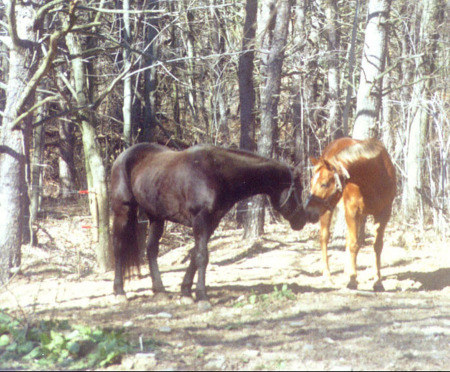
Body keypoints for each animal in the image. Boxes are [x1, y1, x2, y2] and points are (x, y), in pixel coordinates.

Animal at [110, 142, 312, 302]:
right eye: (298, 189)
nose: (303, 219)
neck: (217, 172)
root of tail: (122, 156)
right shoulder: (200, 220)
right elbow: (202, 256)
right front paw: (201, 296)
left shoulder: (211, 222)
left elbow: (195, 255)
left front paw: (186, 292)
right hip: (123, 211)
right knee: (119, 247)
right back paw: (119, 291)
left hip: (156, 216)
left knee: (151, 250)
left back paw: (159, 291)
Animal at [304, 138, 396, 292]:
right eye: (311, 182)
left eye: (324, 184)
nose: (309, 211)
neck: (374, 177)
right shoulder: (352, 211)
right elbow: (354, 244)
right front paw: (353, 280)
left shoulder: (383, 213)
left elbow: (377, 246)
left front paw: (378, 282)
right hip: (328, 210)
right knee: (324, 238)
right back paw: (327, 275)